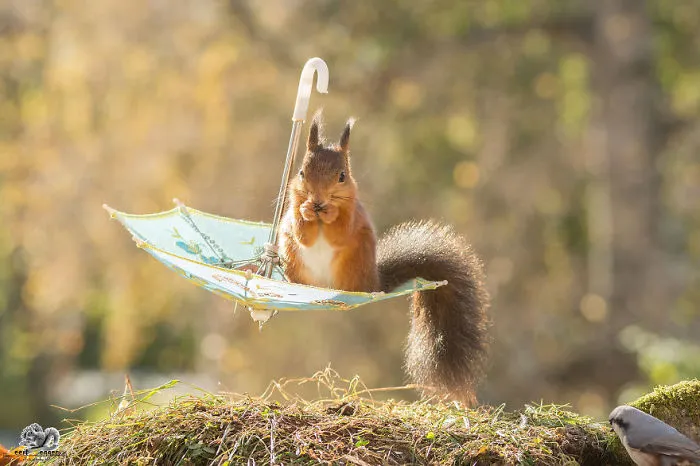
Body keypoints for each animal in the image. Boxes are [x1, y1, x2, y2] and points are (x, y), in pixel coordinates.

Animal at [278, 111, 490, 403]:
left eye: (342, 176)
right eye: (301, 172)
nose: (319, 200)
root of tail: (375, 282)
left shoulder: (352, 215)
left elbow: (339, 232)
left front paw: (330, 213)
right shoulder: (293, 207)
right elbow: (302, 232)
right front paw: (307, 211)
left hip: (353, 265)